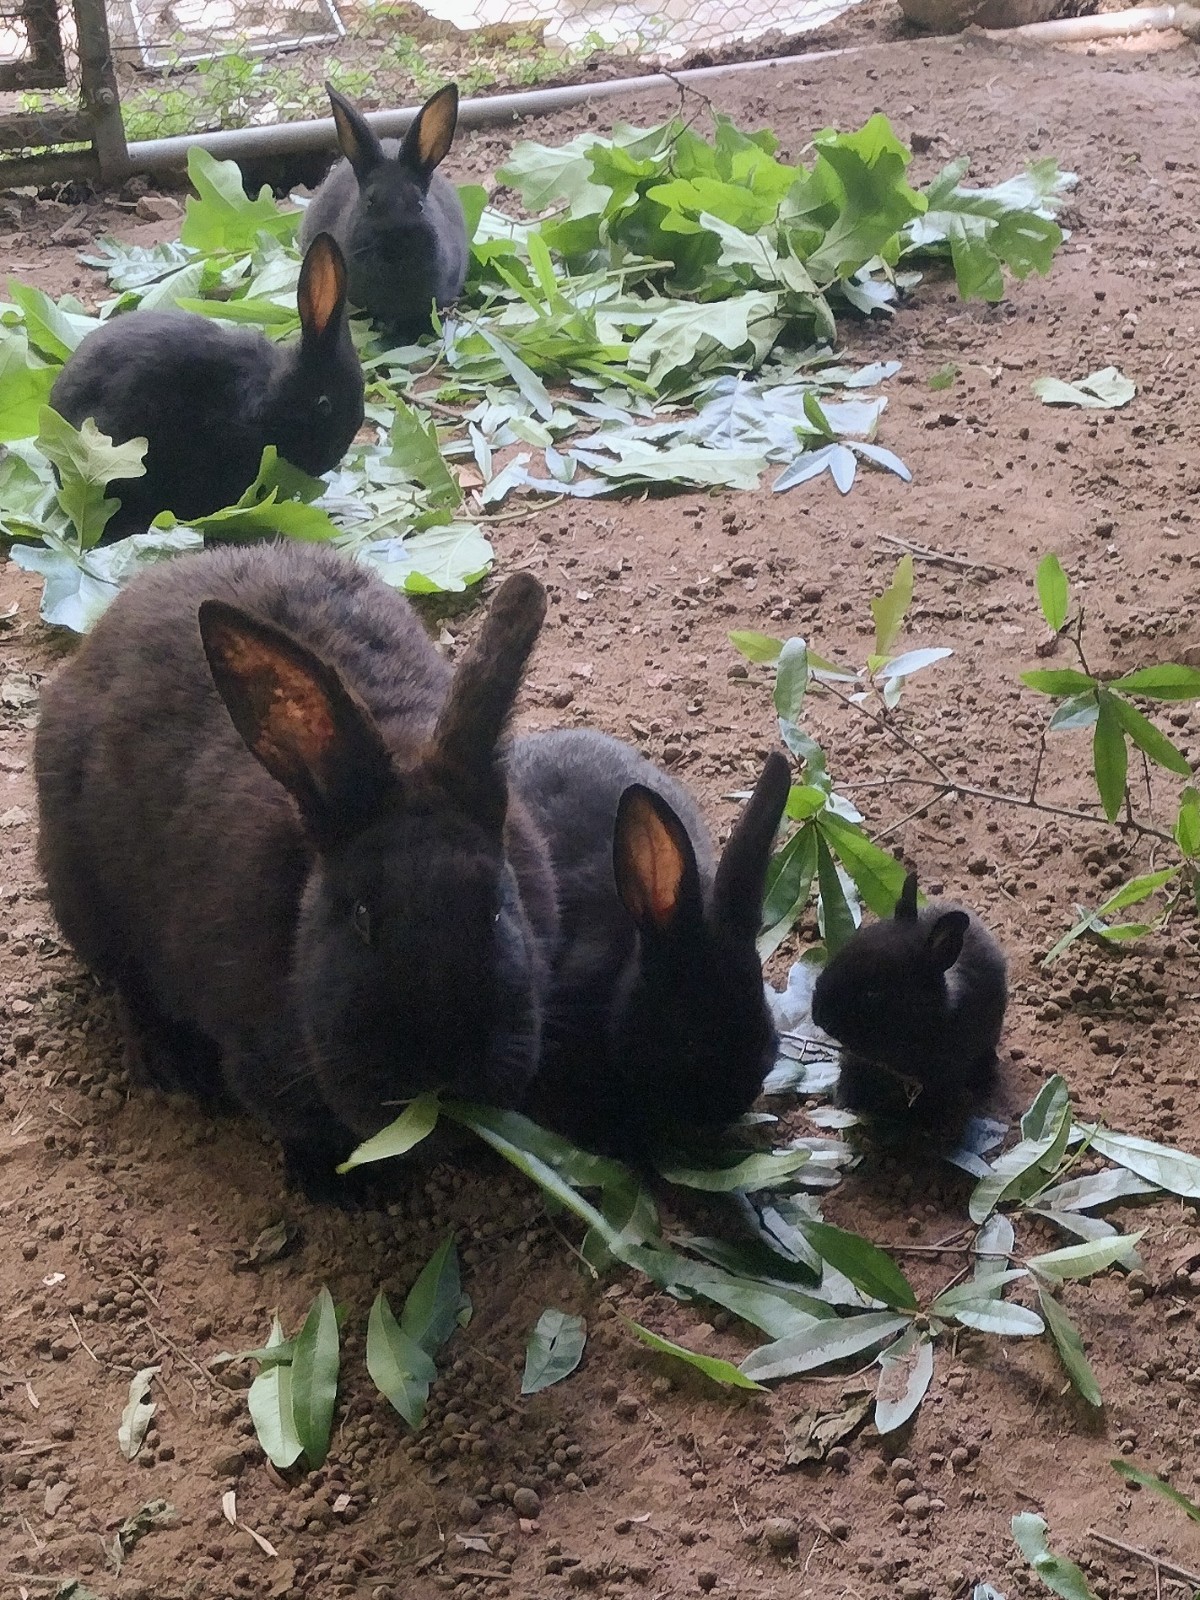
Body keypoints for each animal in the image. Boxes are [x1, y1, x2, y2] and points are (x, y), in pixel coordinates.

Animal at [34, 541, 557, 1197]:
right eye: (360, 915)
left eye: (495, 909)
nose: (438, 1071)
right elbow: (299, 1125)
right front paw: (343, 1188)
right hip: (85, 902)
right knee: (125, 986)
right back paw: (170, 1070)